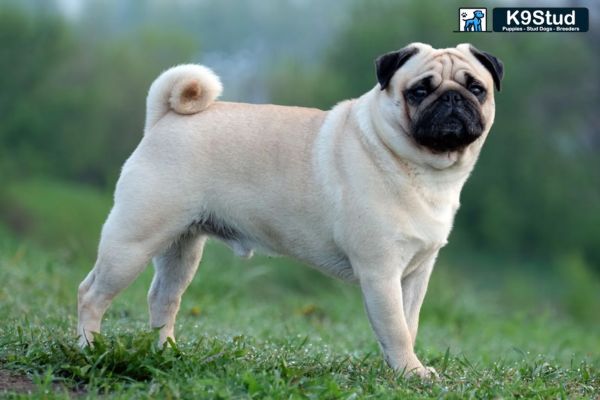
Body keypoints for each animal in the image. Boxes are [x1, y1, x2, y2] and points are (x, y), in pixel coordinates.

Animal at [77, 43, 504, 378]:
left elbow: (408, 323)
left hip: (181, 247)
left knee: (163, 300)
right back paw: (89, 348)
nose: (452, 98)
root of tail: (163, 119)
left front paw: (401, 370)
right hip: (133, 242)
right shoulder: (381, 271)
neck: (421, 169)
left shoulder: (415, 274)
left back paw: (167, 353)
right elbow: (396, 328)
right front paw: (411, 373)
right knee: (91, 294)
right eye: (419, 91)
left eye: (476, 88)